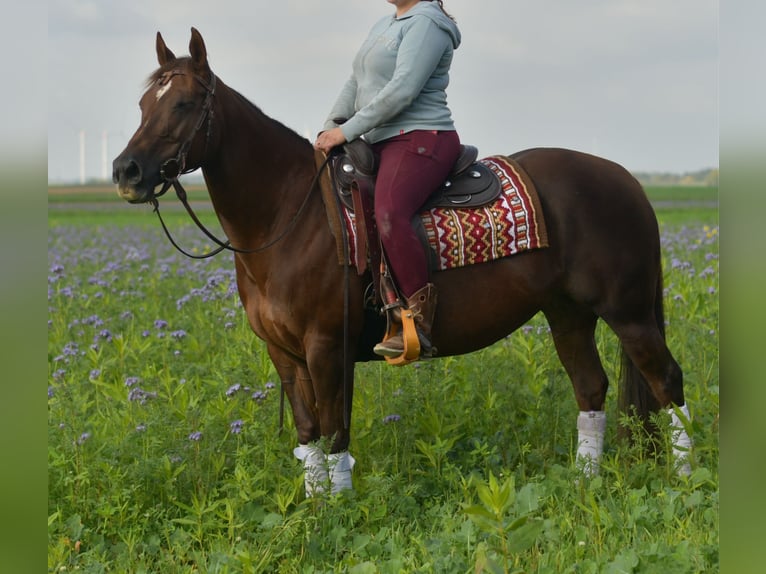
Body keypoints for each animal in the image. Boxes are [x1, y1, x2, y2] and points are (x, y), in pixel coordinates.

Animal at [113, 28, 692, 495]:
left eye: (184, 104)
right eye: (141, 104)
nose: (126, 171)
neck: (288, 216)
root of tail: (625, 178)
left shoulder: (328, 347)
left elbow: (336, 432)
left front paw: (340, 513)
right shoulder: (284, 354)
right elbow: (309, 436)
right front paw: (313, 510)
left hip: (629, 313)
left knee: (667, 381)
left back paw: (687, 480)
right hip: (568, 313)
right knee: (590, 387)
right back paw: (584, 483)